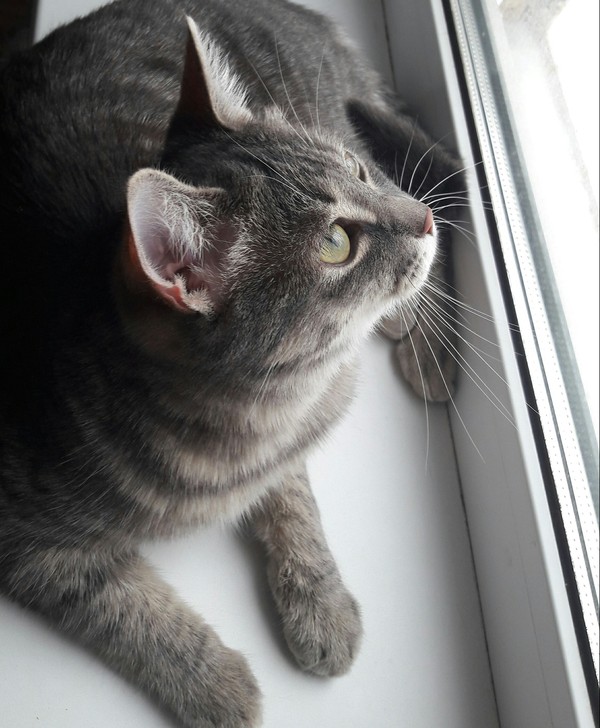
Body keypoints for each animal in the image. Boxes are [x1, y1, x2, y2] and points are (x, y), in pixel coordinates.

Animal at [0, 1, 460, 728]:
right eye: (337, 243)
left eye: (357, 178)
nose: (420, 222)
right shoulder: (25, 539)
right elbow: (121, 609)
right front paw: (217, 683)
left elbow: (294, 501)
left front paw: (320, 599)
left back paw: (430, 345)